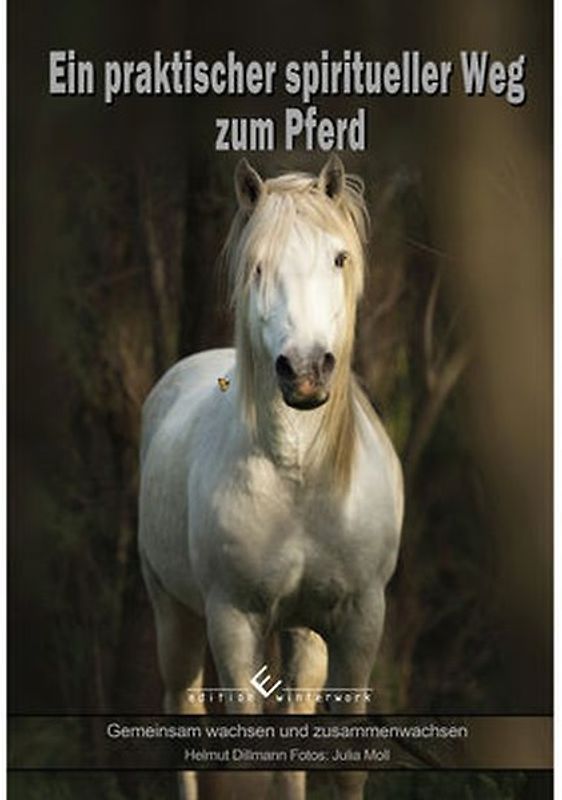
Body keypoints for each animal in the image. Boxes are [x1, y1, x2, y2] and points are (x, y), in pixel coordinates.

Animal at [138, 155, 404, 800]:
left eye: (339, 258)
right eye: (257, 264)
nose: (305, 371)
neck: (299, 477)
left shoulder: (359, 620)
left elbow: (338, 757)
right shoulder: (233, 620)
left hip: (301, 635)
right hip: (173, 614)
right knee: (184, 717)